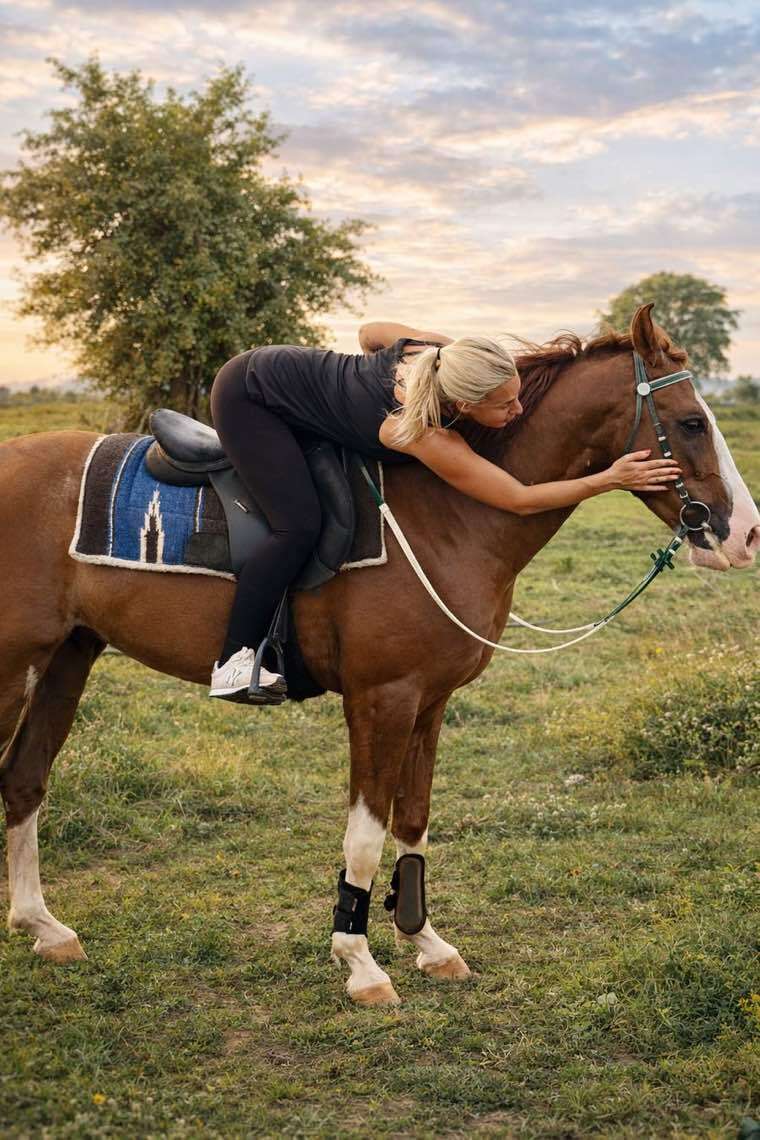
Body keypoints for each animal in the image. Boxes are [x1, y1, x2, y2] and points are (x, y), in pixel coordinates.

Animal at [1, 304, 757, 1006]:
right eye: (691, 422)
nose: (745, 534)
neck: (445, 515)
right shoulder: (381, 700)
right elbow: (364, 837)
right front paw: (360, 962)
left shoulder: (429, 701)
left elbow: (413, 820)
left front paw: (425, 940)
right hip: (16, 666)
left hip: (67, 658)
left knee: (24, 779)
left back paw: (44, 927)